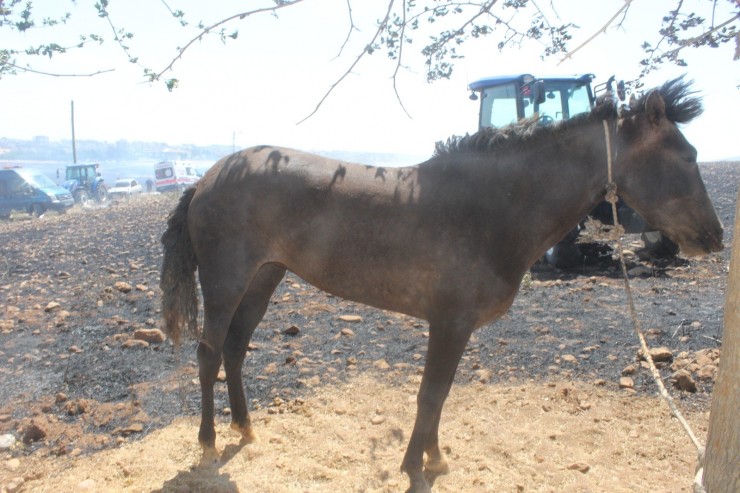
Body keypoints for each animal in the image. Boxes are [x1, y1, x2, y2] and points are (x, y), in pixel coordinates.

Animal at [160, 78, 724, 492]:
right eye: (687, 155)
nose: (715, 238)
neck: (491, 207)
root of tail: (206, 177)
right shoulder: (449, 322)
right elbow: (430, 395)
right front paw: (417, 465)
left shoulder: (457, 327)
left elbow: (442, 395)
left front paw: (435, 458)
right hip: (227, 280)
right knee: (209, 353)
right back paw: (208, 443)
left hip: (265, 276)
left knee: (235, 348)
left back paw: (245, 428)